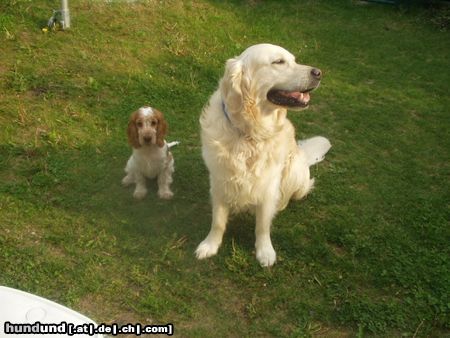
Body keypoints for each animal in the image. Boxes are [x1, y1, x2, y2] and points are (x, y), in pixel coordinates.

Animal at [194, 44, 330, 266]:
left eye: (294, 60)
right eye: (279, 62)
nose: (318, 73)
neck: (250, 132)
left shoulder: (268, 185)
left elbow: (263, 226)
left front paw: (265, 251)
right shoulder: (219, 182)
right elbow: (218, 221)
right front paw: (210, 245)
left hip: (293, 172)